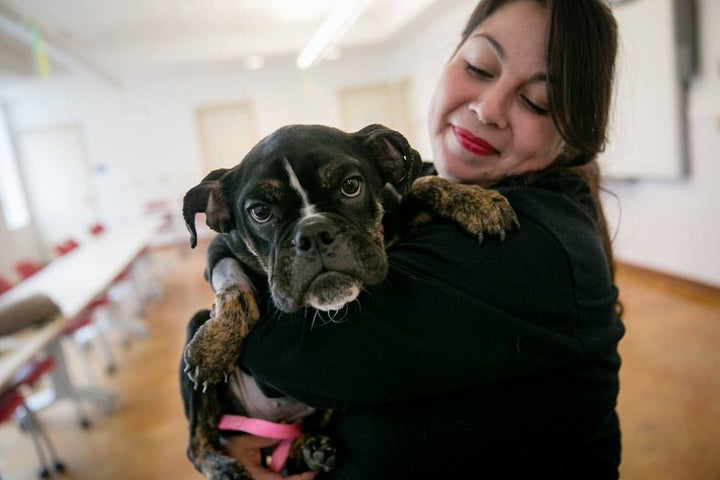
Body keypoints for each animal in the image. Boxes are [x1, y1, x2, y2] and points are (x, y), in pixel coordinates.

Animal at [180, 122, 516, 478]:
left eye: (351, 186)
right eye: (259, 212)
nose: (312, 233)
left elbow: (422, 184)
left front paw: (478, 202)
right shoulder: (221, 251)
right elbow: (234, 286)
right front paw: (216, 344)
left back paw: (308, 449)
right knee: (196, 442)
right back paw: (223, 466)